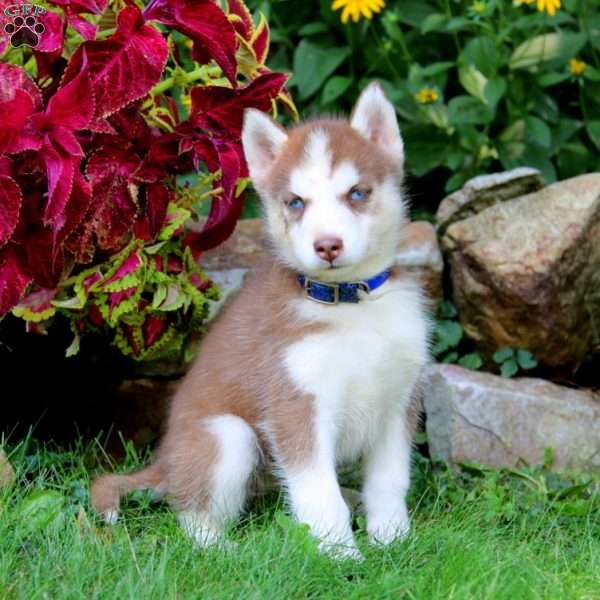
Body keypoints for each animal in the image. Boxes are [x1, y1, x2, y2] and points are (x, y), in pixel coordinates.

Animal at [91, 82, 428, 560]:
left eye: (357, 193)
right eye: (295, 202)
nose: (327, 245)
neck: (348, 305)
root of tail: (164, 463)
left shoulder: (398, 401)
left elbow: (389, 480)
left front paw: (393, 539)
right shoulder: (295, 404)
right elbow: (319, 493)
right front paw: (341, 556)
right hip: (228, 436)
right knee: (190, 514)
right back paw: (225, 551)